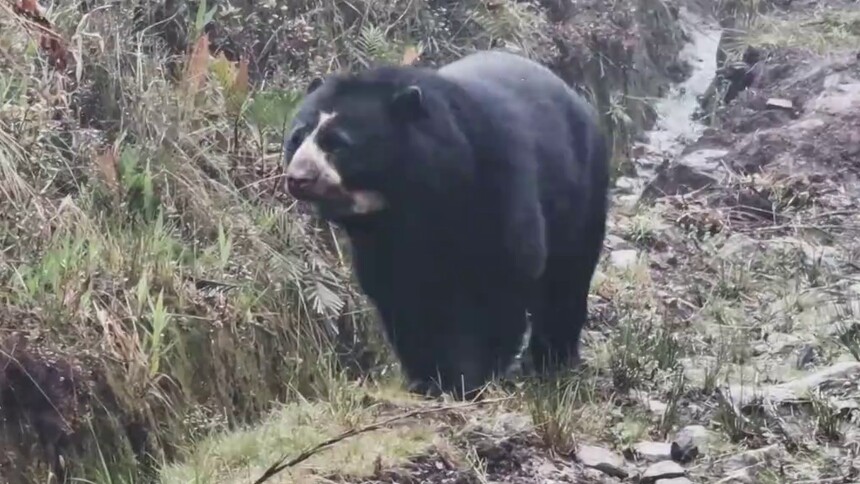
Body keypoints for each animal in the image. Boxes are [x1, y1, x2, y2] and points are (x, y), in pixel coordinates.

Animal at [283, 49, 610, 399]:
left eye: (338, 144)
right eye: (297, 137)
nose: (299, 178)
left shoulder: (495, 182)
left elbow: (503, 275)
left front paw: (468, 377)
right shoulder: (381, 239)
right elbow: (398, 293)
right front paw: (427, 378)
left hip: (580, 191)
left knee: (566, 279)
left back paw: (551, 361)